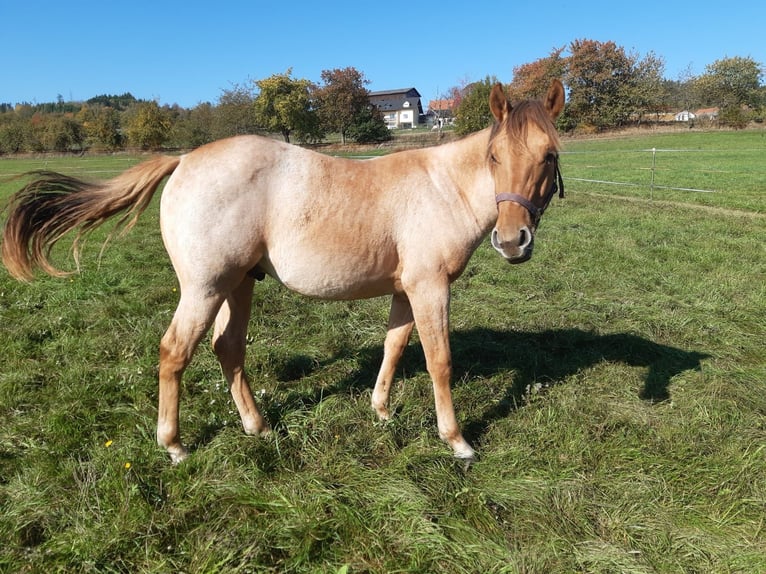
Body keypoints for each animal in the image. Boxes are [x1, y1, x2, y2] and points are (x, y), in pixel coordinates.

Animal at [1, 80, 565, 464]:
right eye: (494, 157)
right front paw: (457, 441)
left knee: (227, 348)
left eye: (549, 155)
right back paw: (175, 445)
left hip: (238, 285)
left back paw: (258, 426)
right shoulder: (431, 288)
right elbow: (439, 361)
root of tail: (183, 160)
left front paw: (381, 410)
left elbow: (394, 346)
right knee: (174, 352)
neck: (442, 186)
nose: (512, 241)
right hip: (205, 289)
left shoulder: (406, 290)